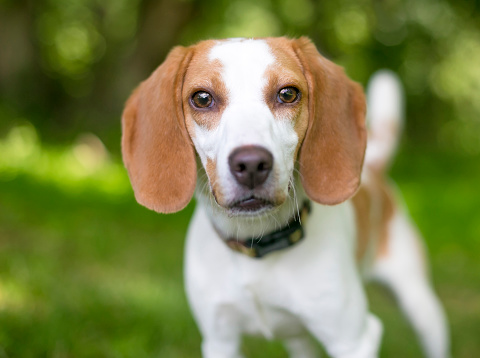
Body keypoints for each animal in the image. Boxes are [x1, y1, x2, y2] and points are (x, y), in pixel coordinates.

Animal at [121, 37, 450, 358]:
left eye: (288, 94)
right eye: (202, 98)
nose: (251, 164)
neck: (258, 244)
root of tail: (372, 169)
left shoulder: (352, 340)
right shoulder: (219, 341)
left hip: (421, 307)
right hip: (297, 340)